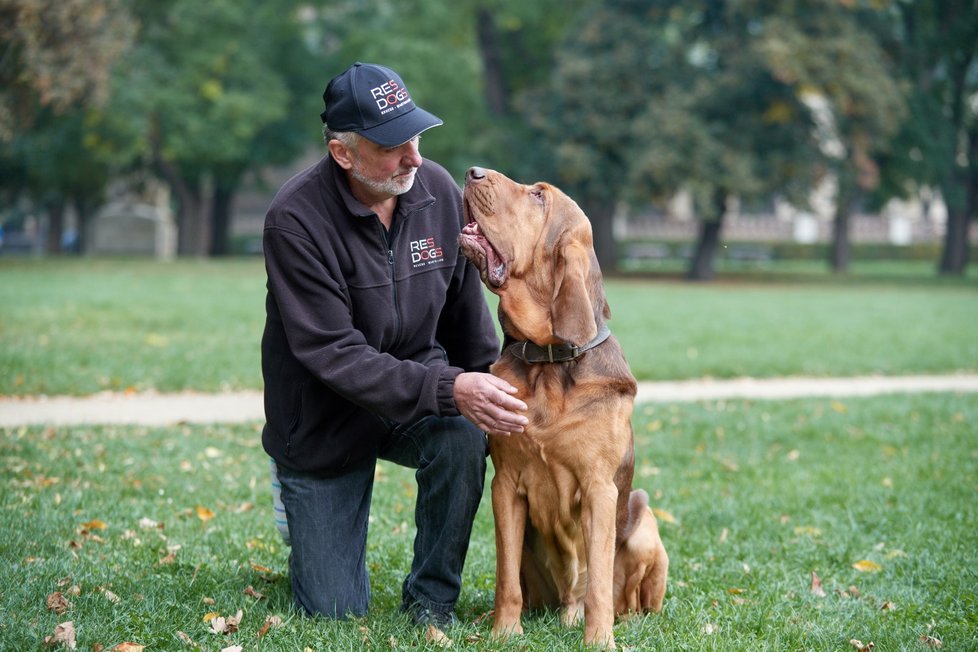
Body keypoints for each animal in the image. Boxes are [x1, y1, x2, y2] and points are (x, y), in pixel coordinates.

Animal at [462, 167, 668, 648]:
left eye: (539, 197)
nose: (473, 172)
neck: (548, 363)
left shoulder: (599, 490)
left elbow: (598, 584)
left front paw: (600, 641)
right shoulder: (505, 487)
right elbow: (505, 579)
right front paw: (504, 632)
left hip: (644, 522)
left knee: (620, 598)